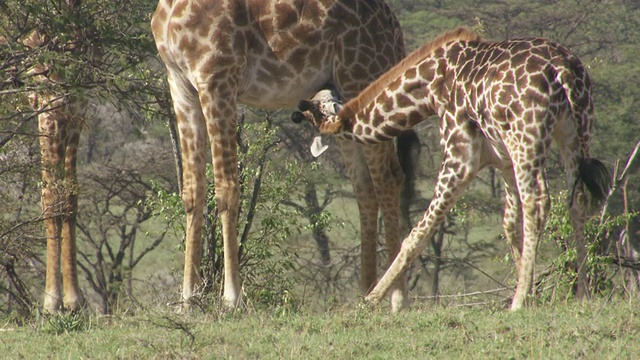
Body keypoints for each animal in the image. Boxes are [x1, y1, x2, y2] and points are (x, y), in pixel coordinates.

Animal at [151, 0, 410, 310]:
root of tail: (395, 29)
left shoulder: (217, 79)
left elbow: (227, 188)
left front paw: (231, 298)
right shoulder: (181, 85)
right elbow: (192, 192)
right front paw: (187, 299)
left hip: (363, 78)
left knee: (388, 178)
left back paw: (396, 297)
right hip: (344, 97)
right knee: (365, 188)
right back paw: (366, 293)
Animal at [292, 27, 608, 310]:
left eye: (313, 115)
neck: (431, 86)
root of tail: (562, 68)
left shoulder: (460, 155)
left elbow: (419, 232)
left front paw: (370, 300)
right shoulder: (503, 159)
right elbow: (509, 222)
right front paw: (530, 288)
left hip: (527, 138)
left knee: (537, 202)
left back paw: (518, 303)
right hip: (574, 133)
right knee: (577, 200)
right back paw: (583, 294)